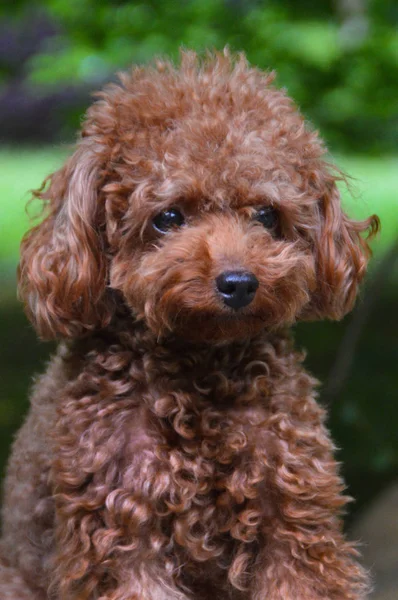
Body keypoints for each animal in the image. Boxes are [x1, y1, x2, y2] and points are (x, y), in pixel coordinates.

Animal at [0, 51, 380, 600]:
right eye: (168, 217)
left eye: (266, 215)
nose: (238, 283)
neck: (202, 368)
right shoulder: (121, 530)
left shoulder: (293, 521)